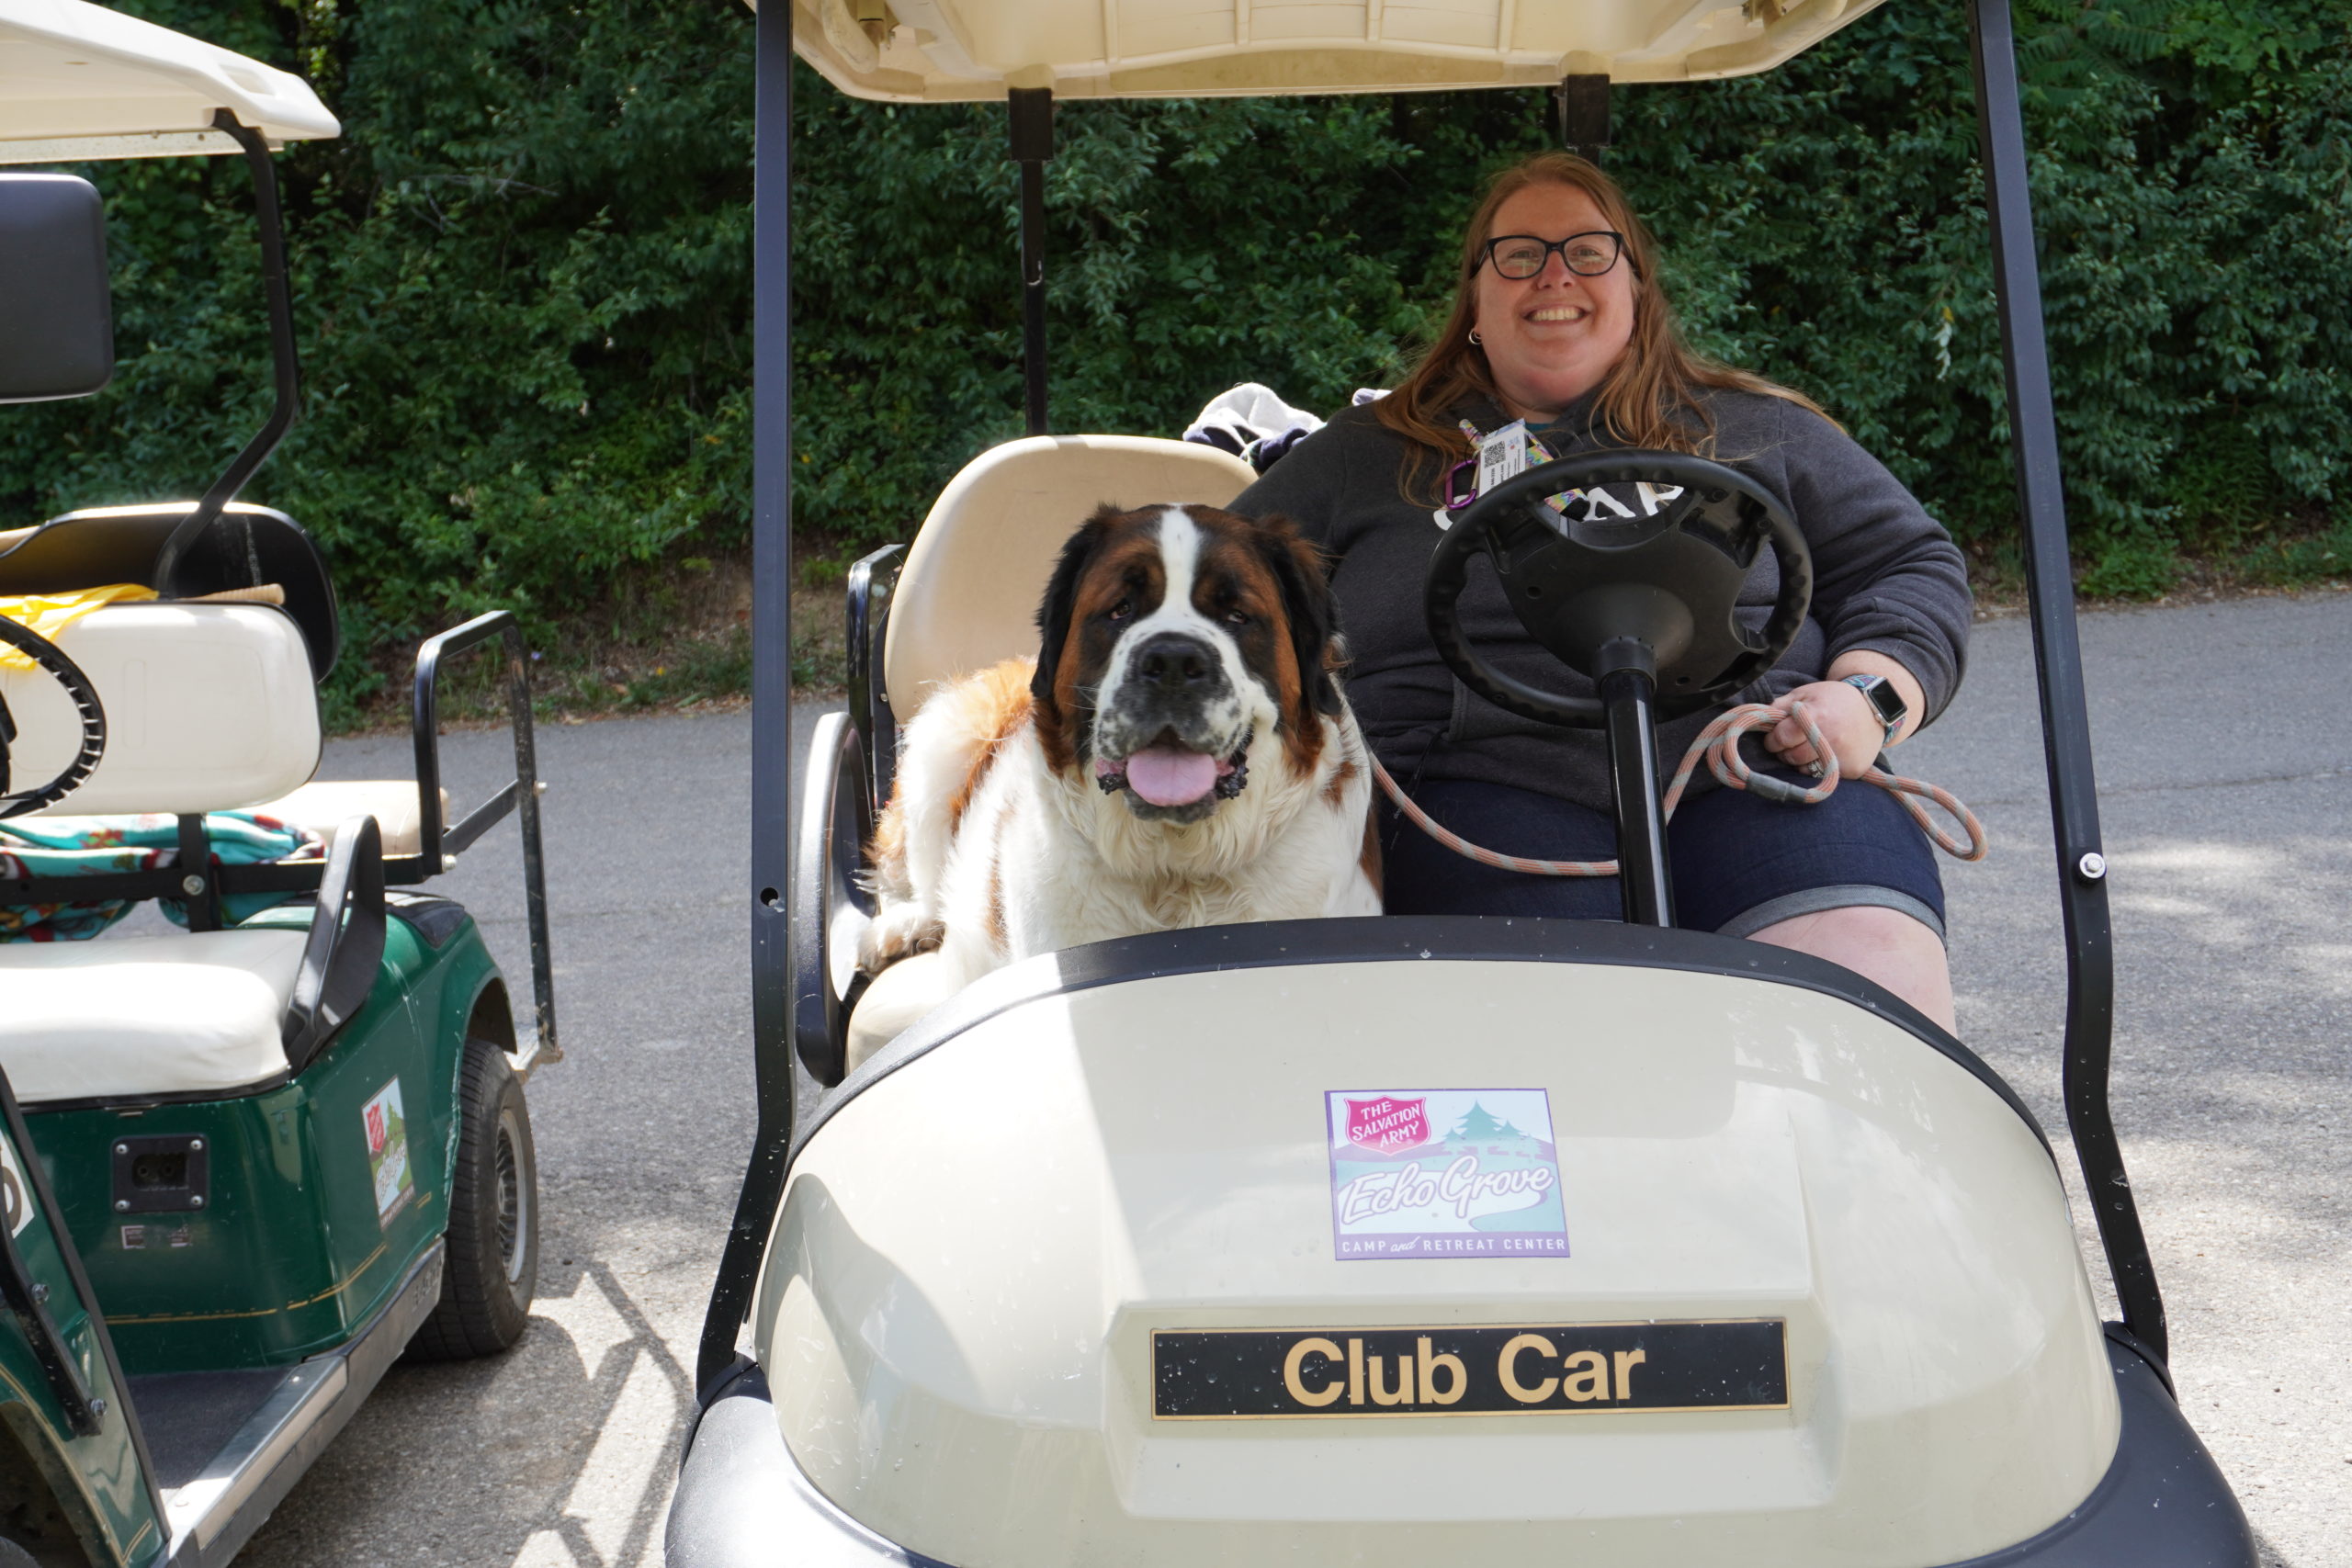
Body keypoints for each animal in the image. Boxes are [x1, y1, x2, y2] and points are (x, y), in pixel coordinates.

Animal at [860, 502, 1374, 991]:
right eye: (1120, 609)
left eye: (1237, 616)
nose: (1172, 661)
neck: (1176, 875)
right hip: (944, 740)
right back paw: (901, 927)